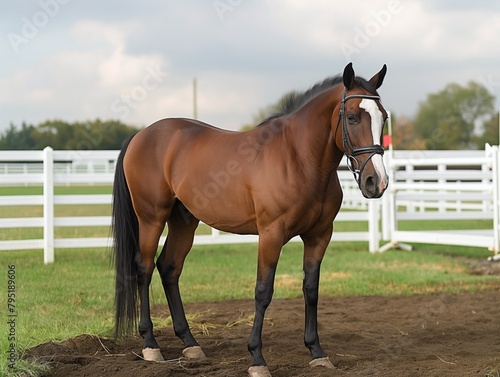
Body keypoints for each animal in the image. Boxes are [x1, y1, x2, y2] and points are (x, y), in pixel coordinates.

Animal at [112, 63, 386, 374]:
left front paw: (317, 352)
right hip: (151, 218)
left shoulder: (319, 235)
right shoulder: (271, 235)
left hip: (184, 221)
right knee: (144, 269)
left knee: (169, 268)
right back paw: (150, 345)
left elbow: (311, 290)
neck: (299, 158)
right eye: (352, 117)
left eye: (384, 118)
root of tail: (141, 135)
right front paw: (257, 358)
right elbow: (263, 292)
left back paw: (190, 343)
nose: (376, 182)